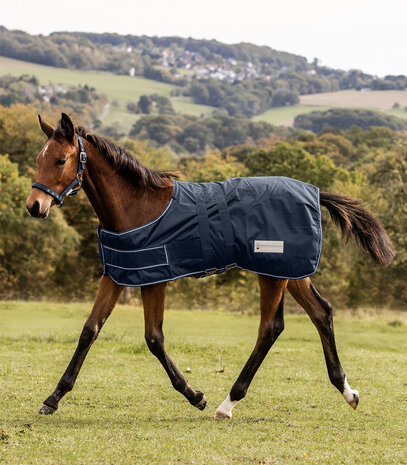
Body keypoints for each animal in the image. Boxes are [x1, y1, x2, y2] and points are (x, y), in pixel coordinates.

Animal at [25, 112, 396, 416]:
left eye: (60, 160)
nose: (34, 206)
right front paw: (53, 398)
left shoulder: (153, 278)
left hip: (272, 275)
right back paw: (347, 391)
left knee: (270, 328)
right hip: (290, 271)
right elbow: (90, 330)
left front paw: (195, 396)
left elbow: (153, 338)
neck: (135, 207)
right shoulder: (119, 275)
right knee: (321, 313)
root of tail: (315, 194)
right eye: (40, 158)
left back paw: (228, 402)